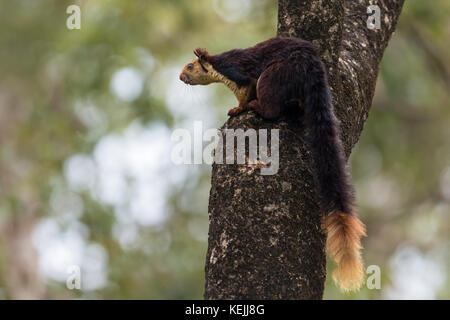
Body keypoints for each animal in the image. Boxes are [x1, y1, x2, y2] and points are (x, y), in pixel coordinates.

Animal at [178, 35, 366, 292]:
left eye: (190, 66)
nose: (180, 77)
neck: (217, 65)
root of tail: (310, 62)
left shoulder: (237, 73)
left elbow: (244, 90)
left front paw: (237, 108)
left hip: (274, 75)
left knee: (271, 106)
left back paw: (257, 107)